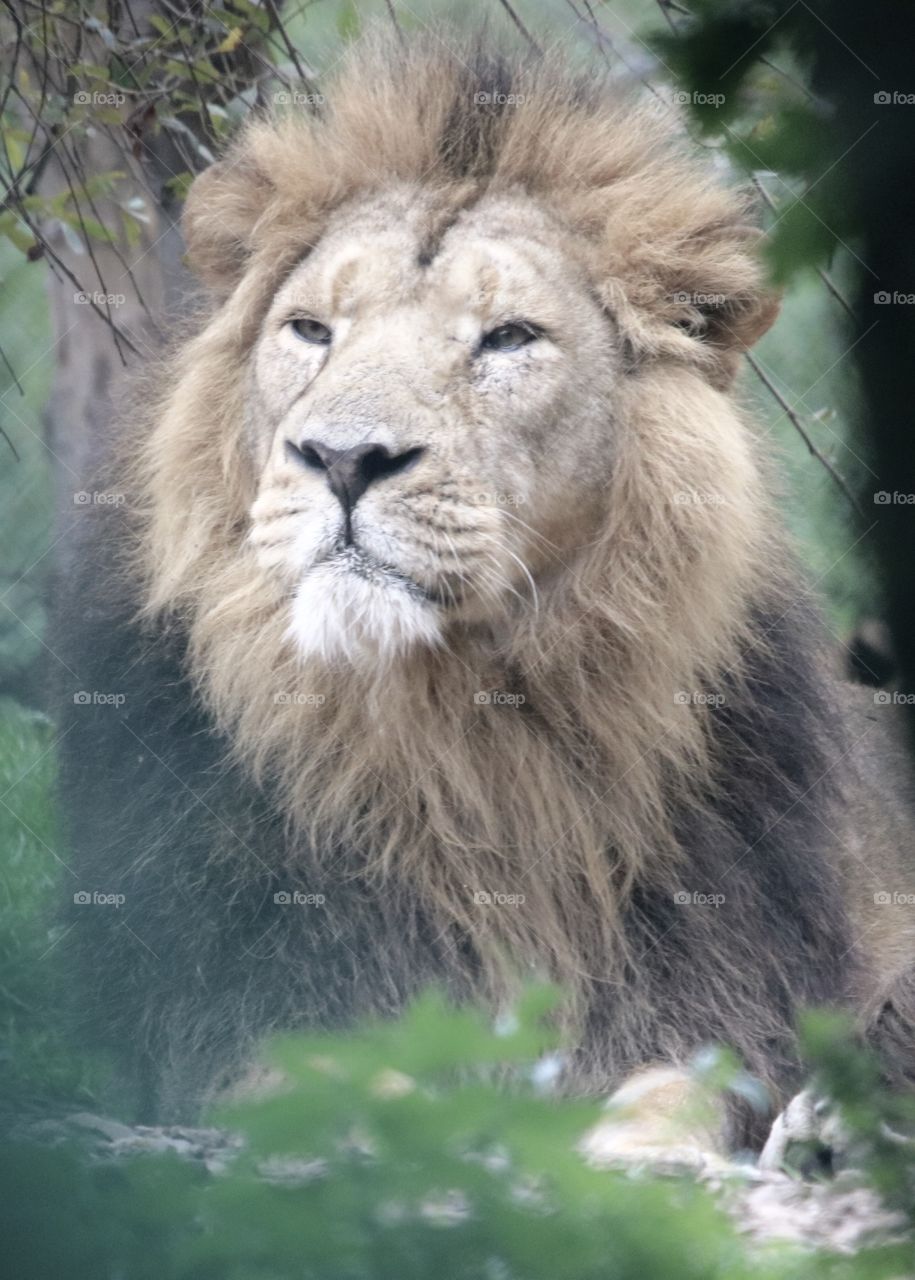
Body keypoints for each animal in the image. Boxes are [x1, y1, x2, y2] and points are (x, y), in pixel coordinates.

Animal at [56, 30, 915, 1155]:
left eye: (508, 338)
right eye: (310, 330)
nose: (343, 459)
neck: (465, 733)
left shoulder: (722, 992)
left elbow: (678, 1096)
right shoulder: (230, 1020)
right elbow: (346, 1086)